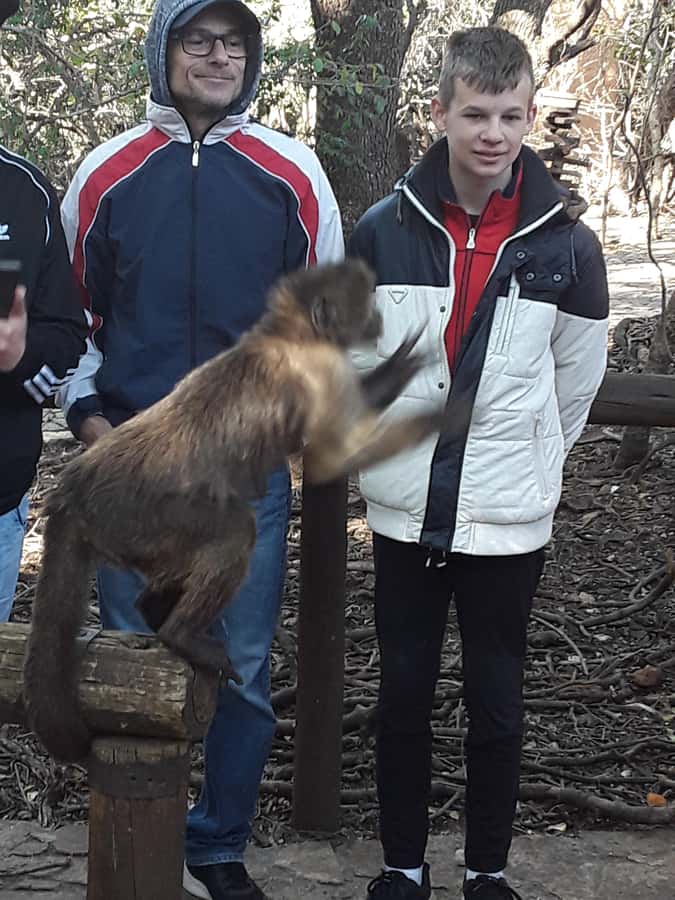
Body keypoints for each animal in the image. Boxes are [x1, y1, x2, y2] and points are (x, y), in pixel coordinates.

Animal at [22, 259, 444, 763]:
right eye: (367, 306)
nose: (378, 321)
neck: (288, 333)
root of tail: (74, 489)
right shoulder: (321, 369)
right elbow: (338, 456)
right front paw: (448, 410)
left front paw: (403, 364)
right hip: (147, 515)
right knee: (235, 528)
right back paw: (180, 633)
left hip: (133, 534)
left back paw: (154, 611)